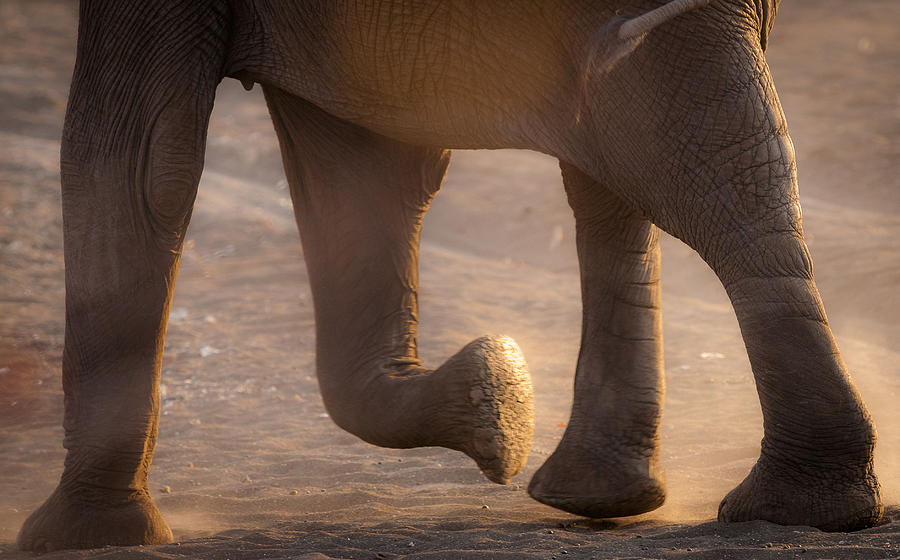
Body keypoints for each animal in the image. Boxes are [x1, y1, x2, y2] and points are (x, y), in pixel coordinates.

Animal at [17, 0, 884, 552]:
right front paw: (495, 402)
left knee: (676, 157)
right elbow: (358, 183)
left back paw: (780, 506)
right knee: (646, 154)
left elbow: (135, 158)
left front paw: (79, 539)